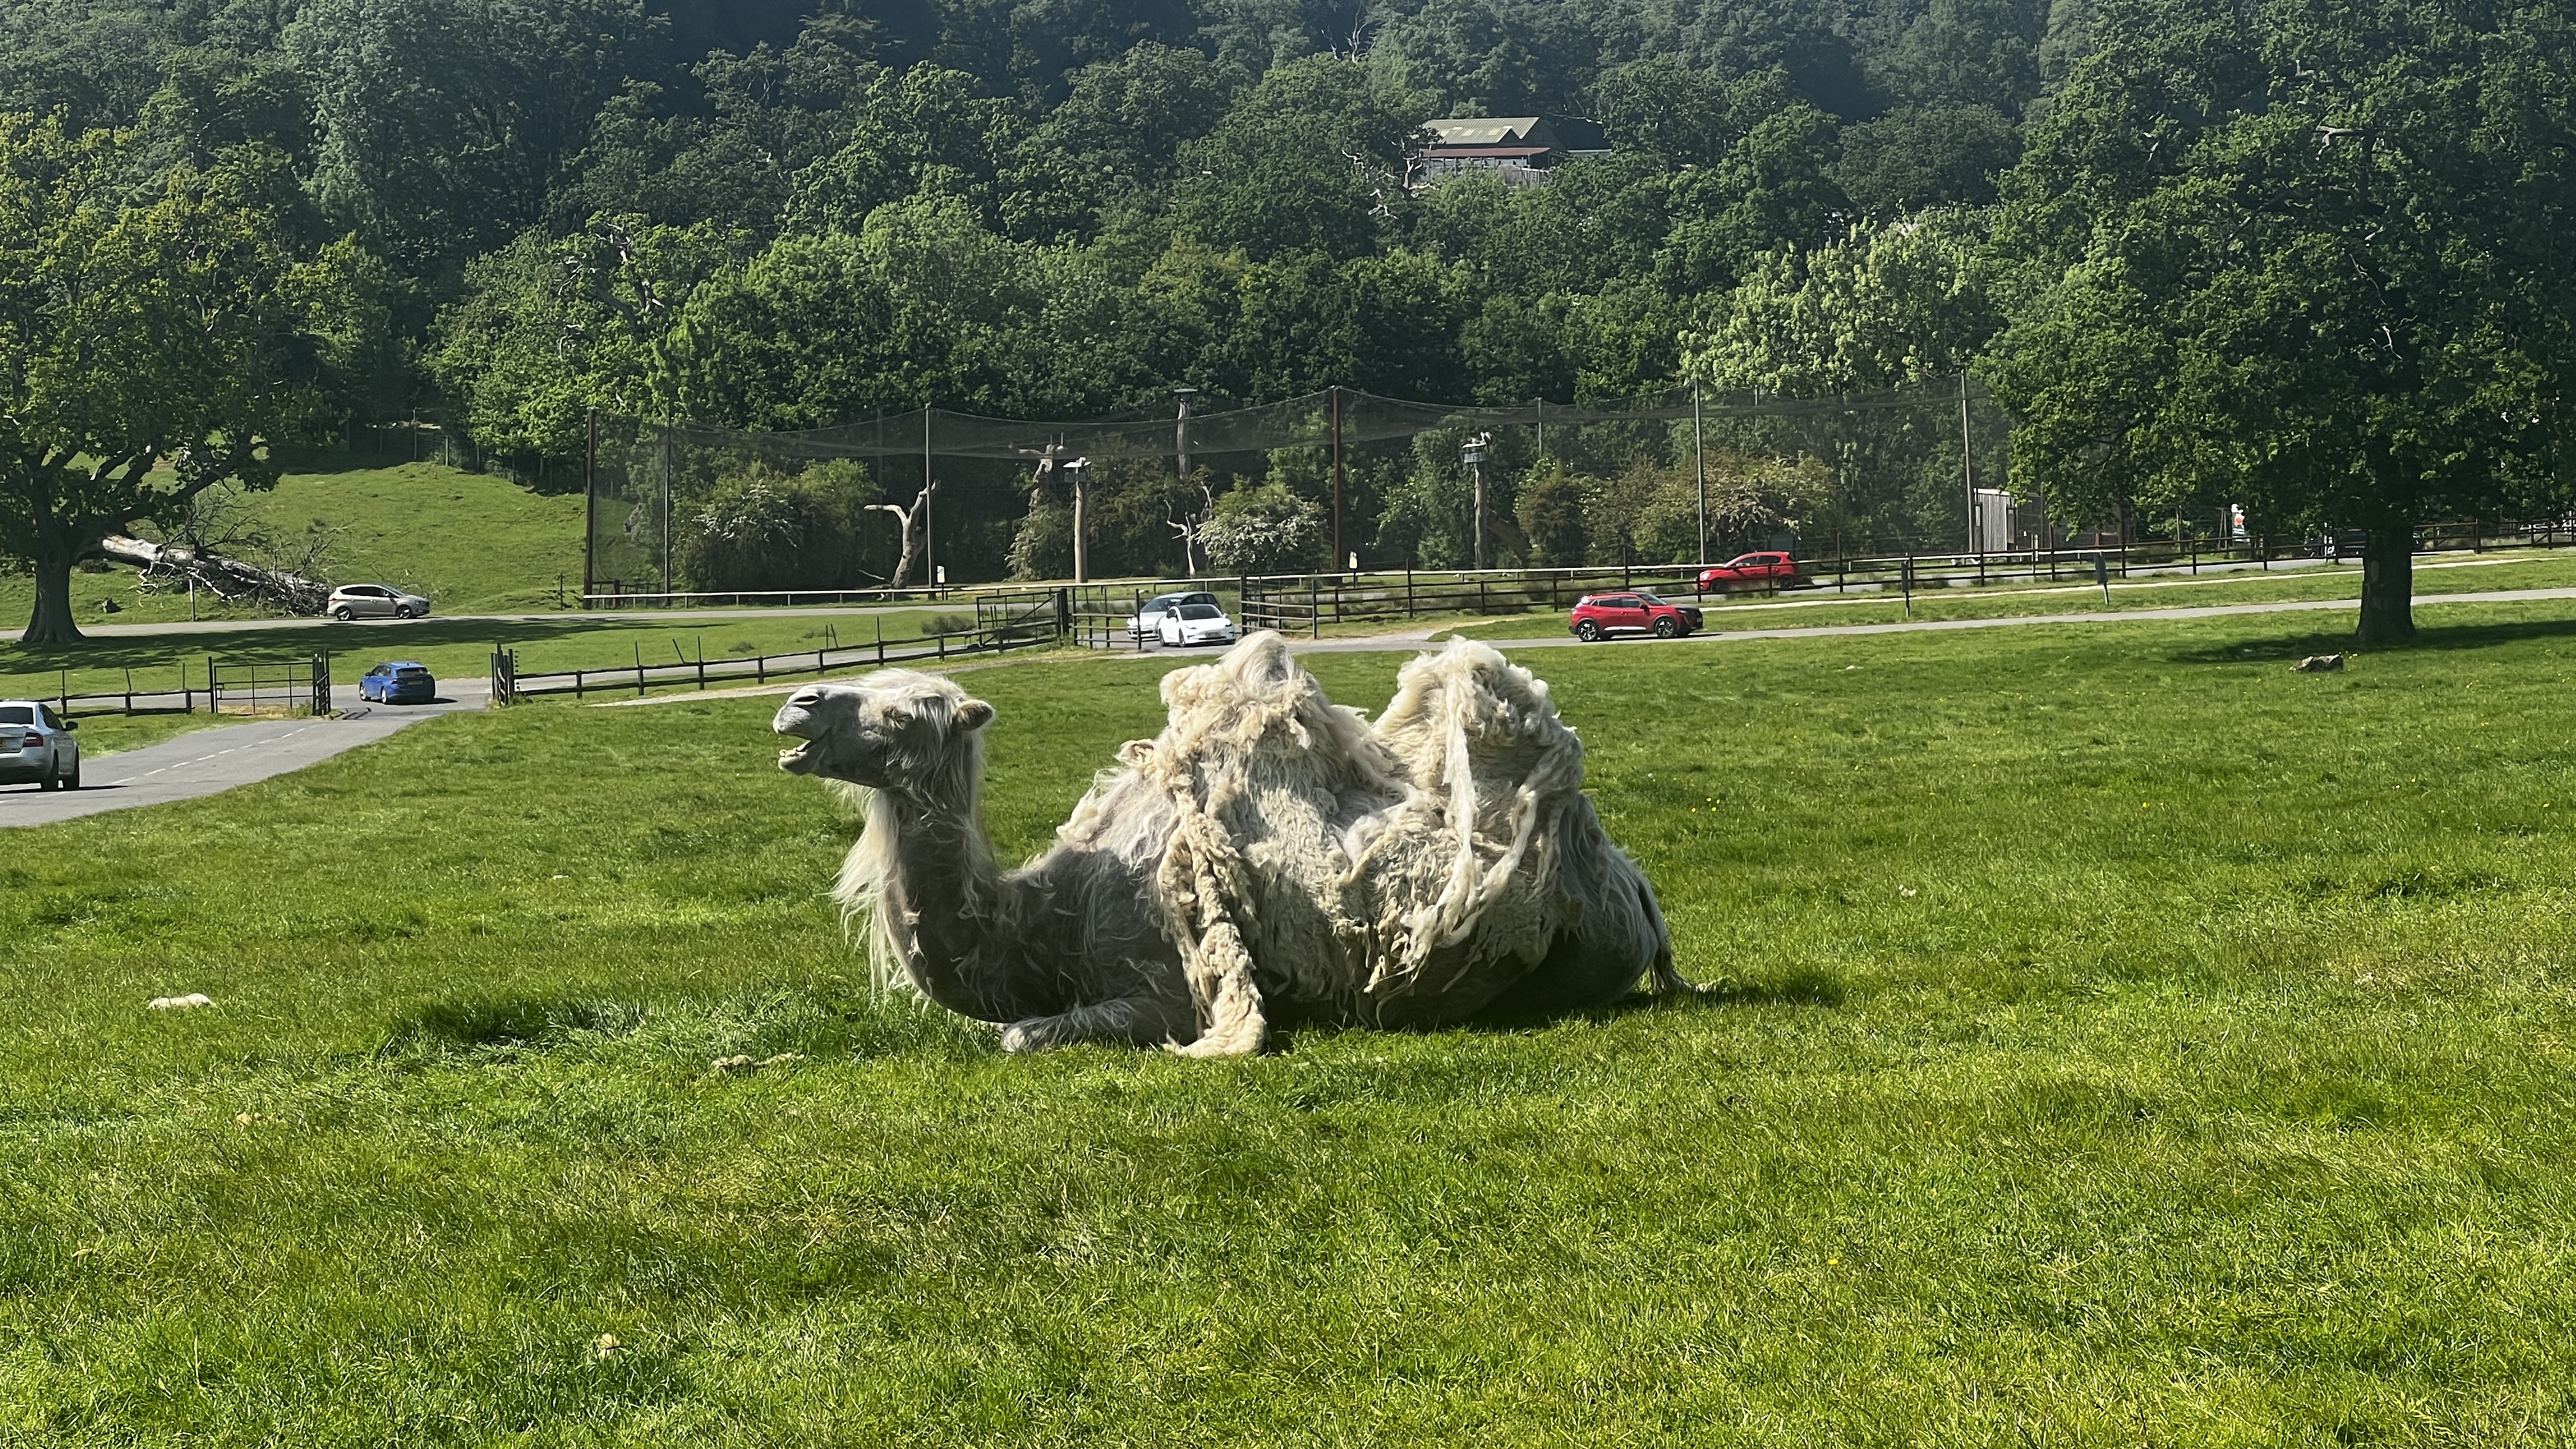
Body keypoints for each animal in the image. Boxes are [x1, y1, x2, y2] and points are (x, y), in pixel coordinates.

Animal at [772, 629, 1679, 1046]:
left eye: (907, 711)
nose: (798, 703)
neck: (1047, 921)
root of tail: (1639, 891)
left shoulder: (1166, 992)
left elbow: (1019, 1035)